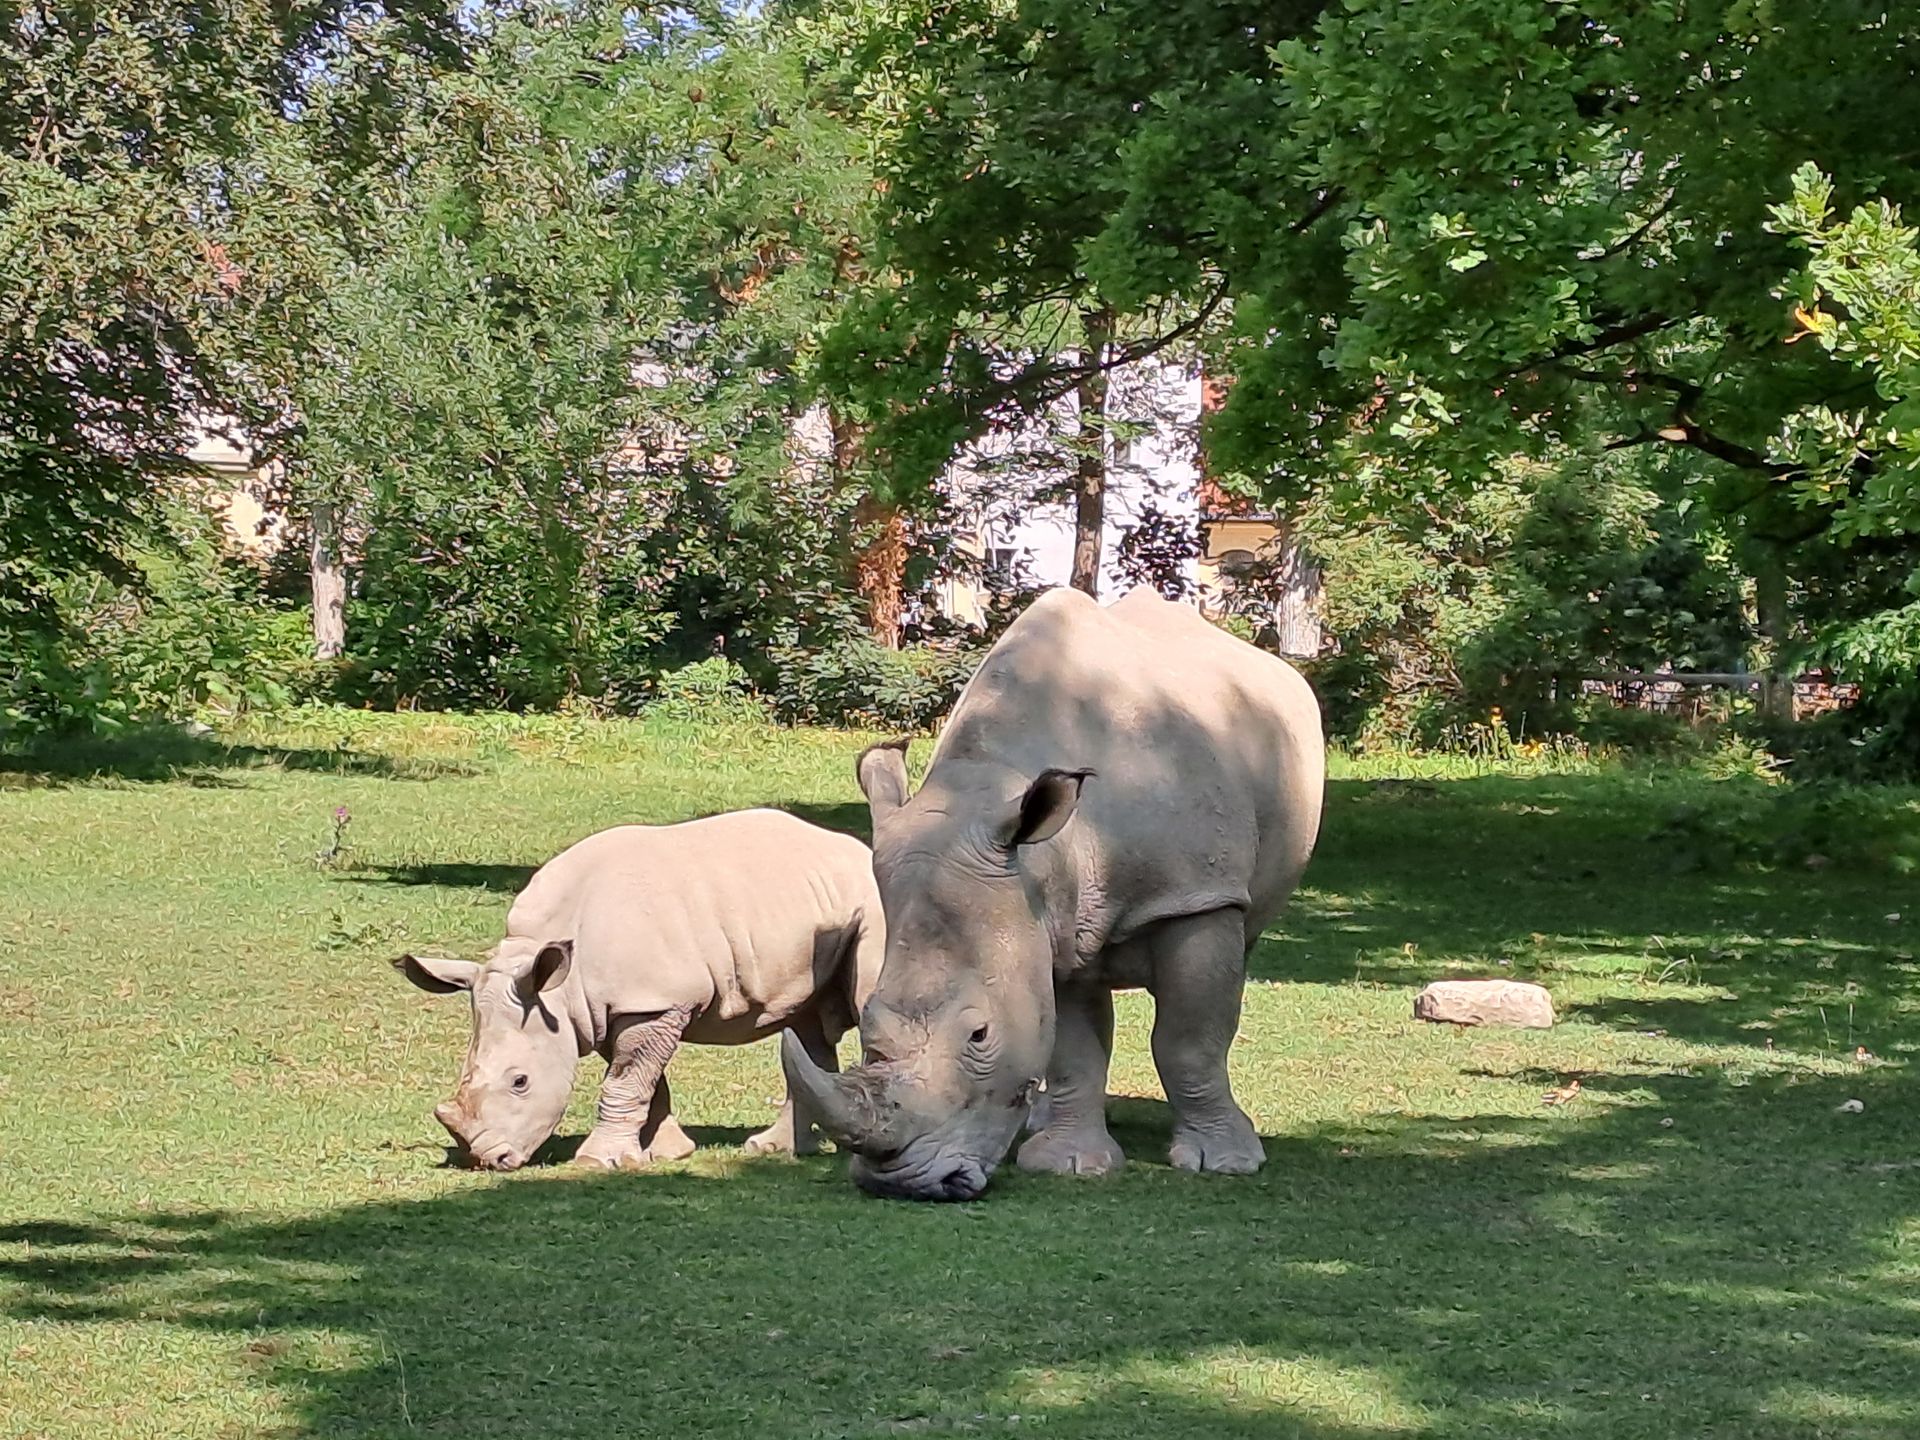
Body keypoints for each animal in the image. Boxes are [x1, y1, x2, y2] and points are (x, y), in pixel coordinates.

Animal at [396, 809, 884, 1171]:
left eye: (520, 1082)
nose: (488, 1160)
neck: (556, 987)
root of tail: (856, 848)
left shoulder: (652, 1003)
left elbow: (627, 1079)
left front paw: (596, 1161)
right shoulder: (614, 1006)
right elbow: (644, 1080)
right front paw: (665, 1153)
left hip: (872, 907)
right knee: (804, 1025)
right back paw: (772, 1150)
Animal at [782, 586, 1324, 1200]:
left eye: (979, 1034)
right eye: (867, 1015)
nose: (900, 1183)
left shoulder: (1196, 898)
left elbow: (1191, 1037)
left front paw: (1223, 1162)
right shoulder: (1046, 918)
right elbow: (1072, 1047)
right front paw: (1067, 1164)